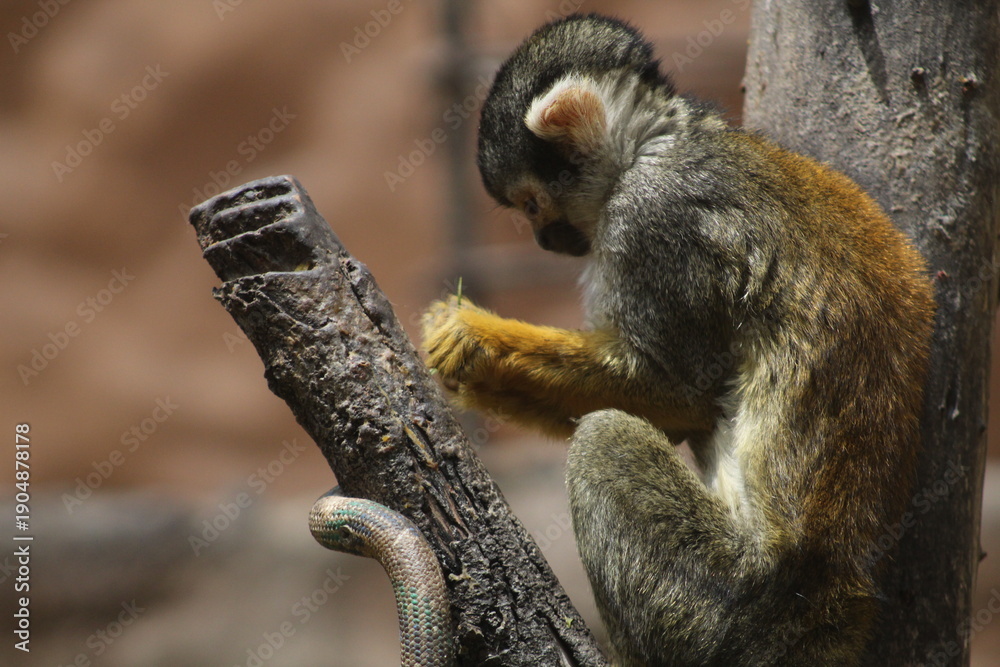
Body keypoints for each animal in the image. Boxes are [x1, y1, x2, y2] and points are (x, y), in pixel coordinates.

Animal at [421, 13, 935, 666]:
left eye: (532, 204)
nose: (544, 242)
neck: (661, 140)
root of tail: (833, 604)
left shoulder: (653, 220)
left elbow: (683, 393)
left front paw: (471, 342)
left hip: (722, 613)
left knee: (606, 439)